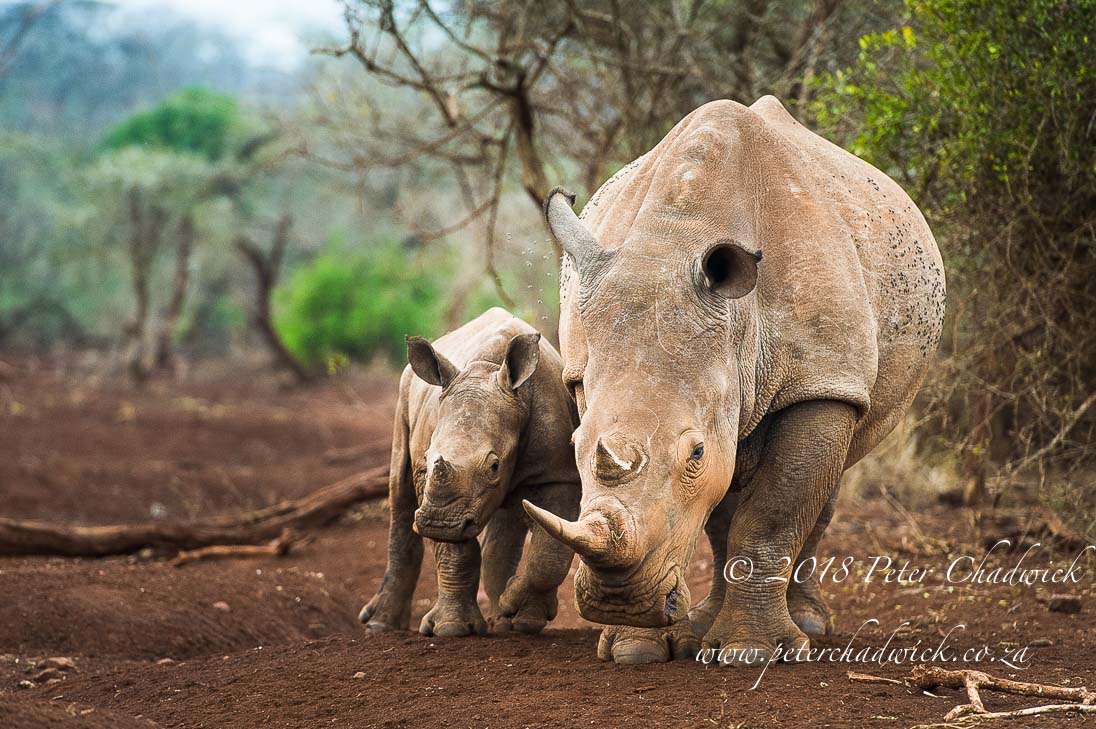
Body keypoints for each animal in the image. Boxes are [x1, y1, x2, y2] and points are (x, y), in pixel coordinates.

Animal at [360, 308, 581, 636]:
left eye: (494, 466)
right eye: (428, 457)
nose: (437, 524)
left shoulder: (555, 473)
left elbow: (549, 553)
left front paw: (523, 617)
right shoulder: (431, 482)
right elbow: (455, 550)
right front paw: (452, 629)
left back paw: (506, 621)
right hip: (404, 391)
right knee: (400, 492)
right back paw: (379, 626)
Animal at [524, 97, 946, 664]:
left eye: (695, 454)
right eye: (574, 445)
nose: (619, 602)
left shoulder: (822, 379)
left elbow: (772, 513)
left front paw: (751, 652)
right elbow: (718, 507)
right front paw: (635, 649)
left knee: (826, 477)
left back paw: (807, 628)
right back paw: (704, 630)